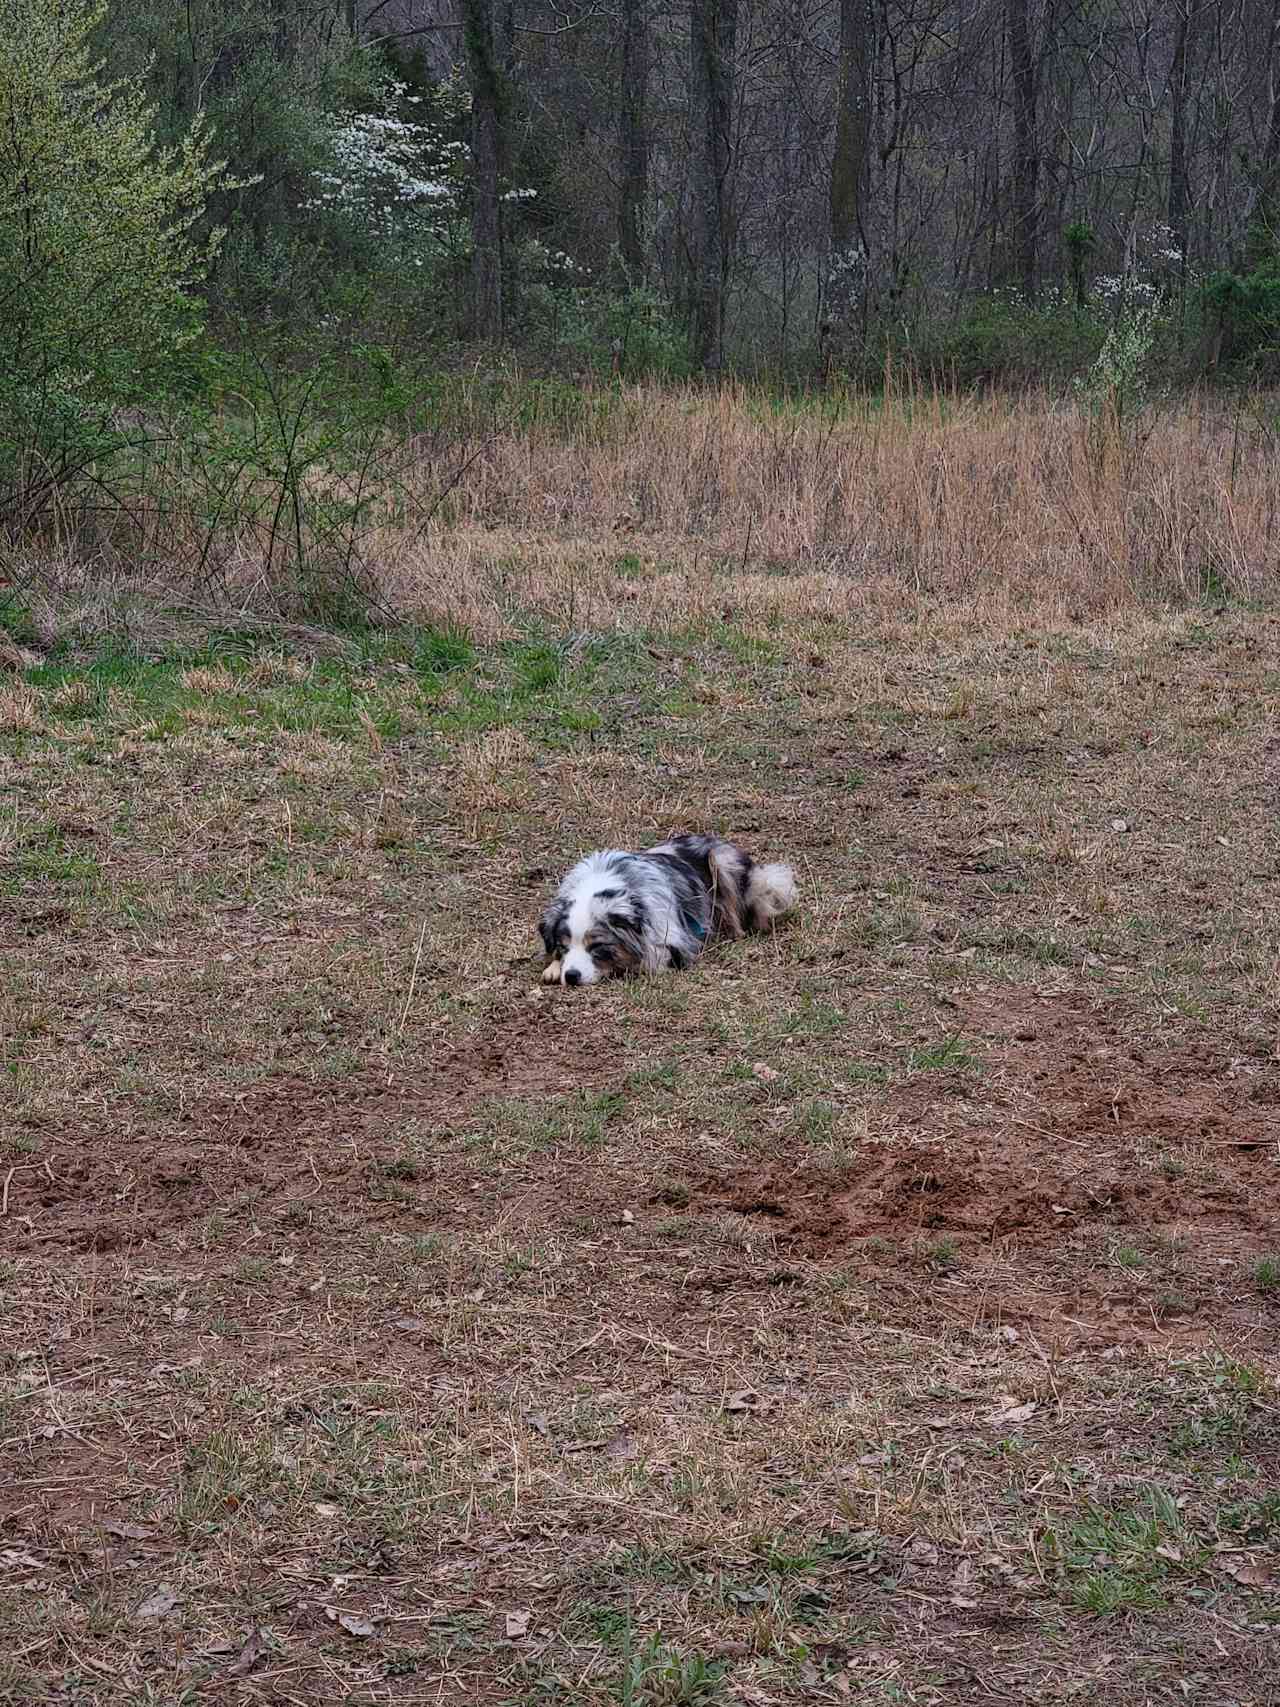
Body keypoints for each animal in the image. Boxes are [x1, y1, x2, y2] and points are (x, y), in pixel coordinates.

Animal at [535, 836, 798, 990]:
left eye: (597, 946)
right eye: (563, 946)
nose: (571, 976)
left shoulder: (674, 941)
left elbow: (646, 959)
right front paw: (553, 968)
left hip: (723, 863)